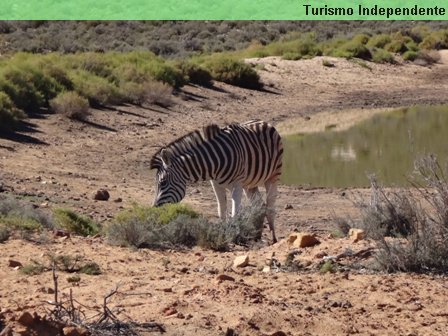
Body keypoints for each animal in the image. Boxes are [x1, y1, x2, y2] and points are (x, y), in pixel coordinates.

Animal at [150, 119, 284, 243]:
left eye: (163, 182)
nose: (154, 208)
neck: (213, 163)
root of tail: (263, 122)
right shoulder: (215, 184)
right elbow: (222, 209)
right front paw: (223, 233)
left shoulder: (237, 184)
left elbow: (235, 212)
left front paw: (233, 235)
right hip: (249, 184)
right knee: (259, 204)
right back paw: (257, 235)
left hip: (273, 176)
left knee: (270, 205)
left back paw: (273, 238)